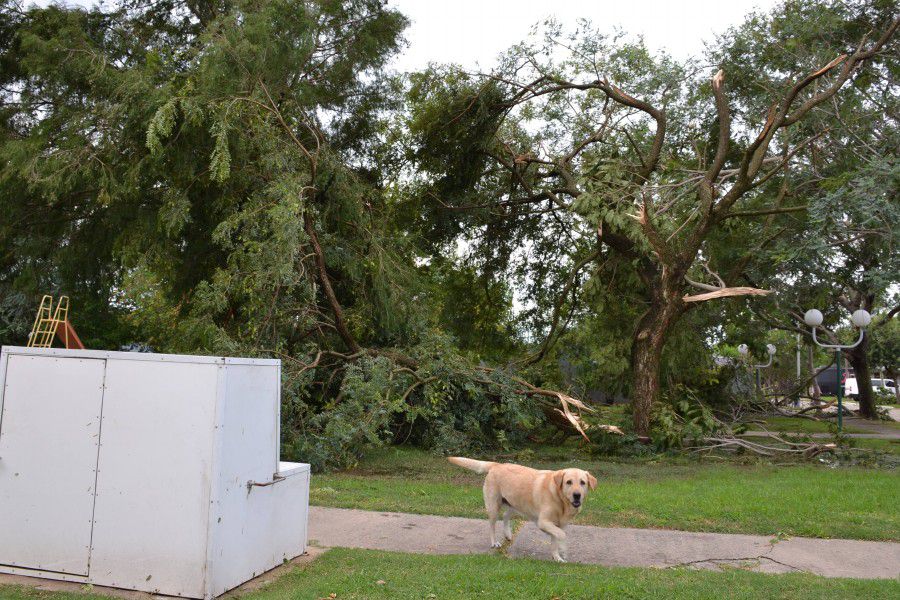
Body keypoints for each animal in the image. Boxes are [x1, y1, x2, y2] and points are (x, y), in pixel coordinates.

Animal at [448, 458, 596, 560]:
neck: (560, 499)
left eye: (582, 482)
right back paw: (495, 542)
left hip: (516, 504)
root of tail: (497, 464)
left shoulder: (557, 525)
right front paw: (563, 551)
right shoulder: (544, 522)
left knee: (505, 516)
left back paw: (508, 534)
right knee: (492, 526)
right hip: (494, 507)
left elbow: (556, 539)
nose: (577, 495)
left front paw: (557, 557)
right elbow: (562, 535)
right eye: (568, 482)